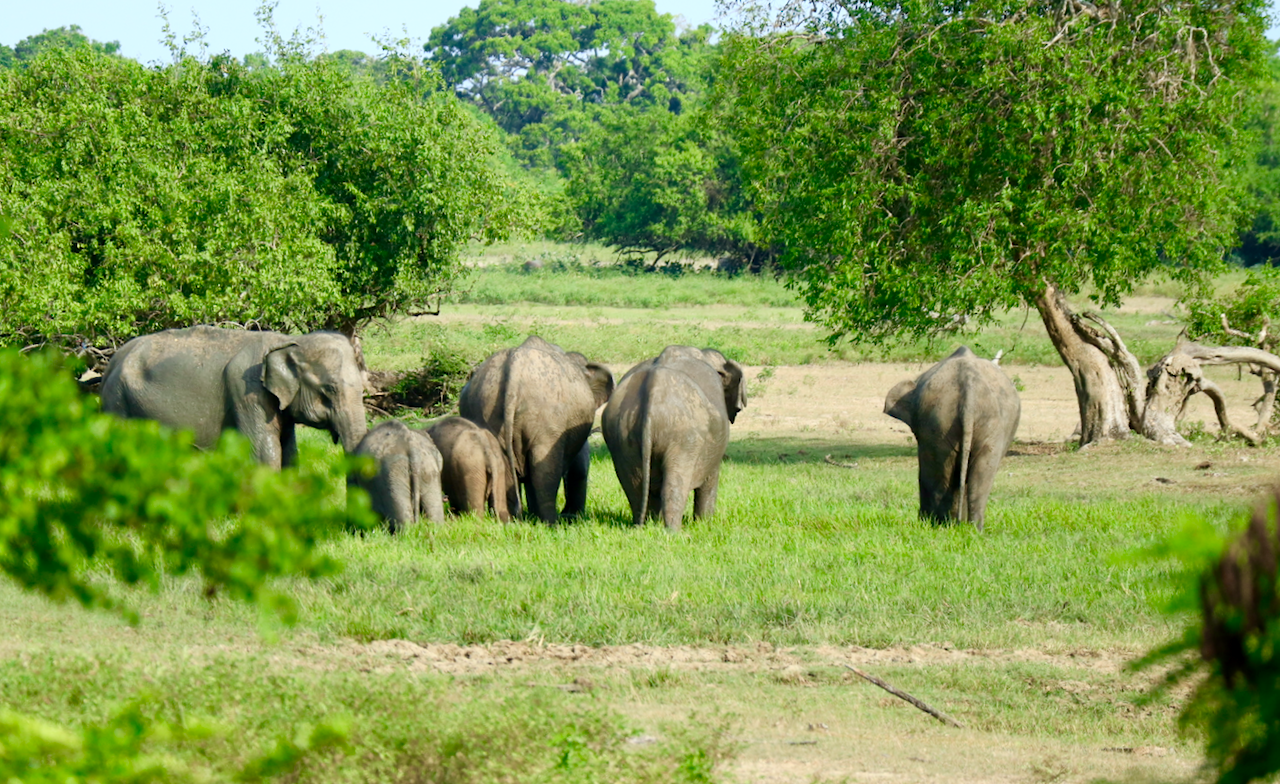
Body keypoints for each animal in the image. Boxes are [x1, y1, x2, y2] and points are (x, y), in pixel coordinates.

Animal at [102, 322, 368, 466]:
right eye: (330, 389)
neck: (289, 341)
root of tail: (111, 362)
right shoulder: (247, 392)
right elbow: (264, 452)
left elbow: (290, 452)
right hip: (118, 402)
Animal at [460, 333, 614, 522]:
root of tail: (513, 368)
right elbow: (578, 464)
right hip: (548, 419)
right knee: (544, 469)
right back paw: (550, 522)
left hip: (485, 409)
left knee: (505, 465)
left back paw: (512, 519)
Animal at [601, 345, 747, 530]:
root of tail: (652, 392)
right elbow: (710, 479)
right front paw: (705, 524)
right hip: (684, 437)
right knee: (674, 484)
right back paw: (673, 531)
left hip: (622, 435)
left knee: (634, 485)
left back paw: (643, 526)